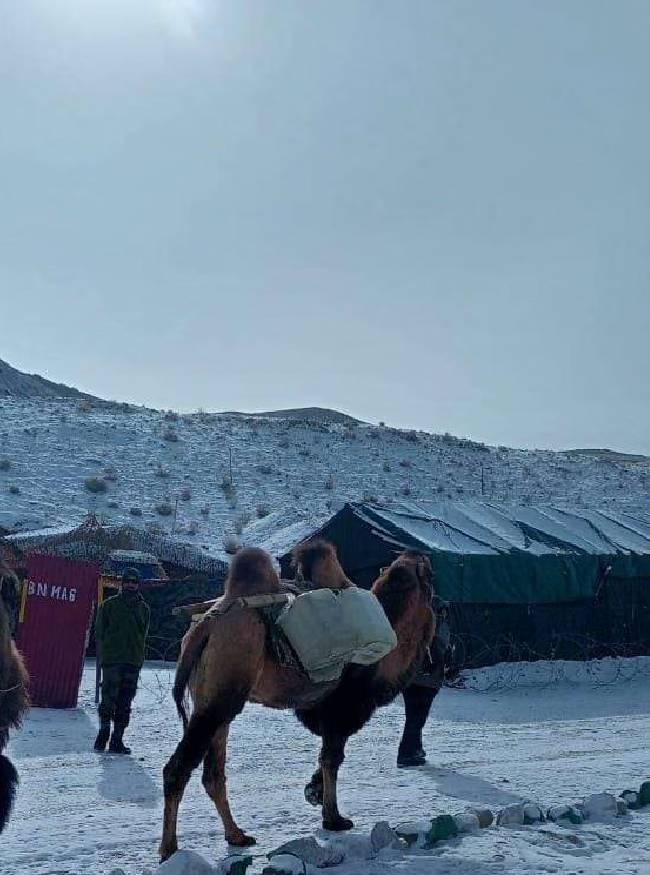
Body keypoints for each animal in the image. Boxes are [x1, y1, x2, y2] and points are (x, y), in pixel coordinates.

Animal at [160, 540, 436, 860]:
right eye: (430, 574)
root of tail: (205, 627)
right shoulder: (344, 707)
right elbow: (332, 759)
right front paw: (334, 819)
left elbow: (327, 757)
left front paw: (314, 793)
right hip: (223, 685)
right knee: (178, 768)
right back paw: (169, 849)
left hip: (214, 697)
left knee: (213, 773)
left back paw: (237, 836)